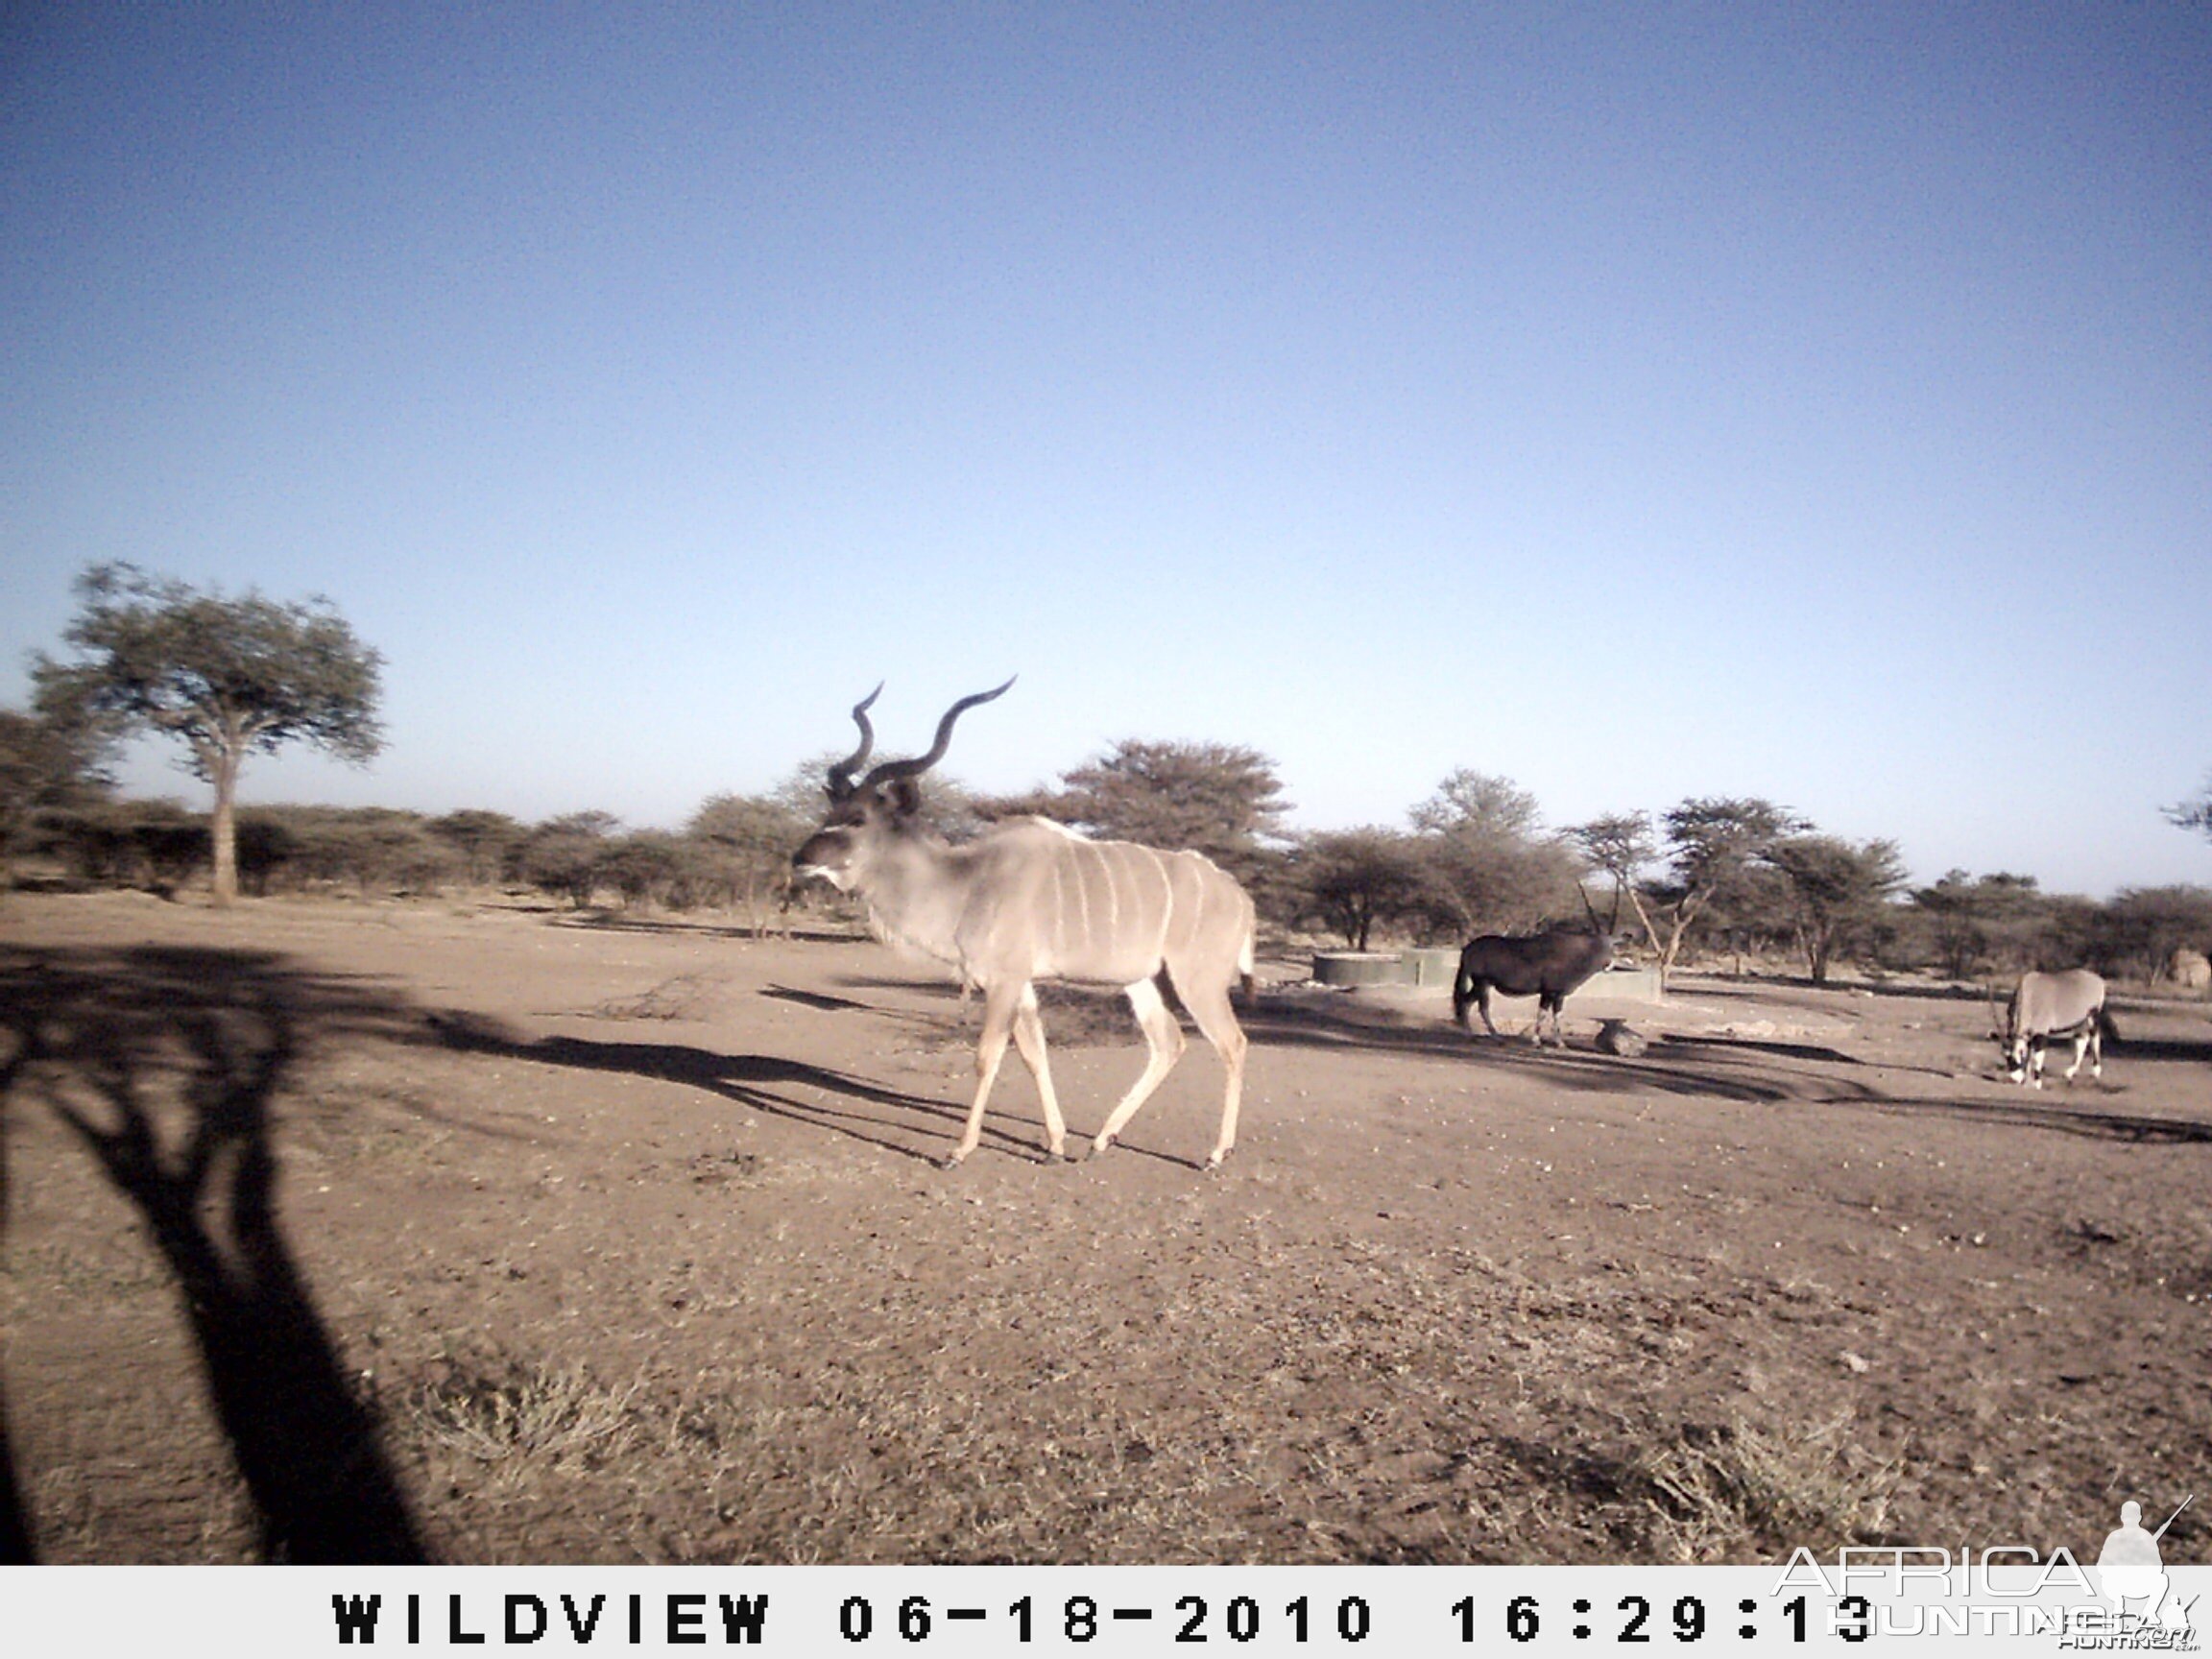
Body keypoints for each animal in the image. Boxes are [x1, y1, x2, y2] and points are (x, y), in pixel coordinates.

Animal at [796, 681, 1256, 1176]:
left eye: (858, 818)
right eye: (830, 810)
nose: (800, 858)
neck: (966, 881)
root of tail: (1241, 897)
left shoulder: (1003, 981)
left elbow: (986, 1057)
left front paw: (959, 1151)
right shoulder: (1022, 985)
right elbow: (1035, 1055)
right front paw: (1054, 1145)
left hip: (1197, 981)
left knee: (1233, 1043)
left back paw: (1216, 1153)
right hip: (1144, 981)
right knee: (1169, 1043)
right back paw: (1100, 1141)